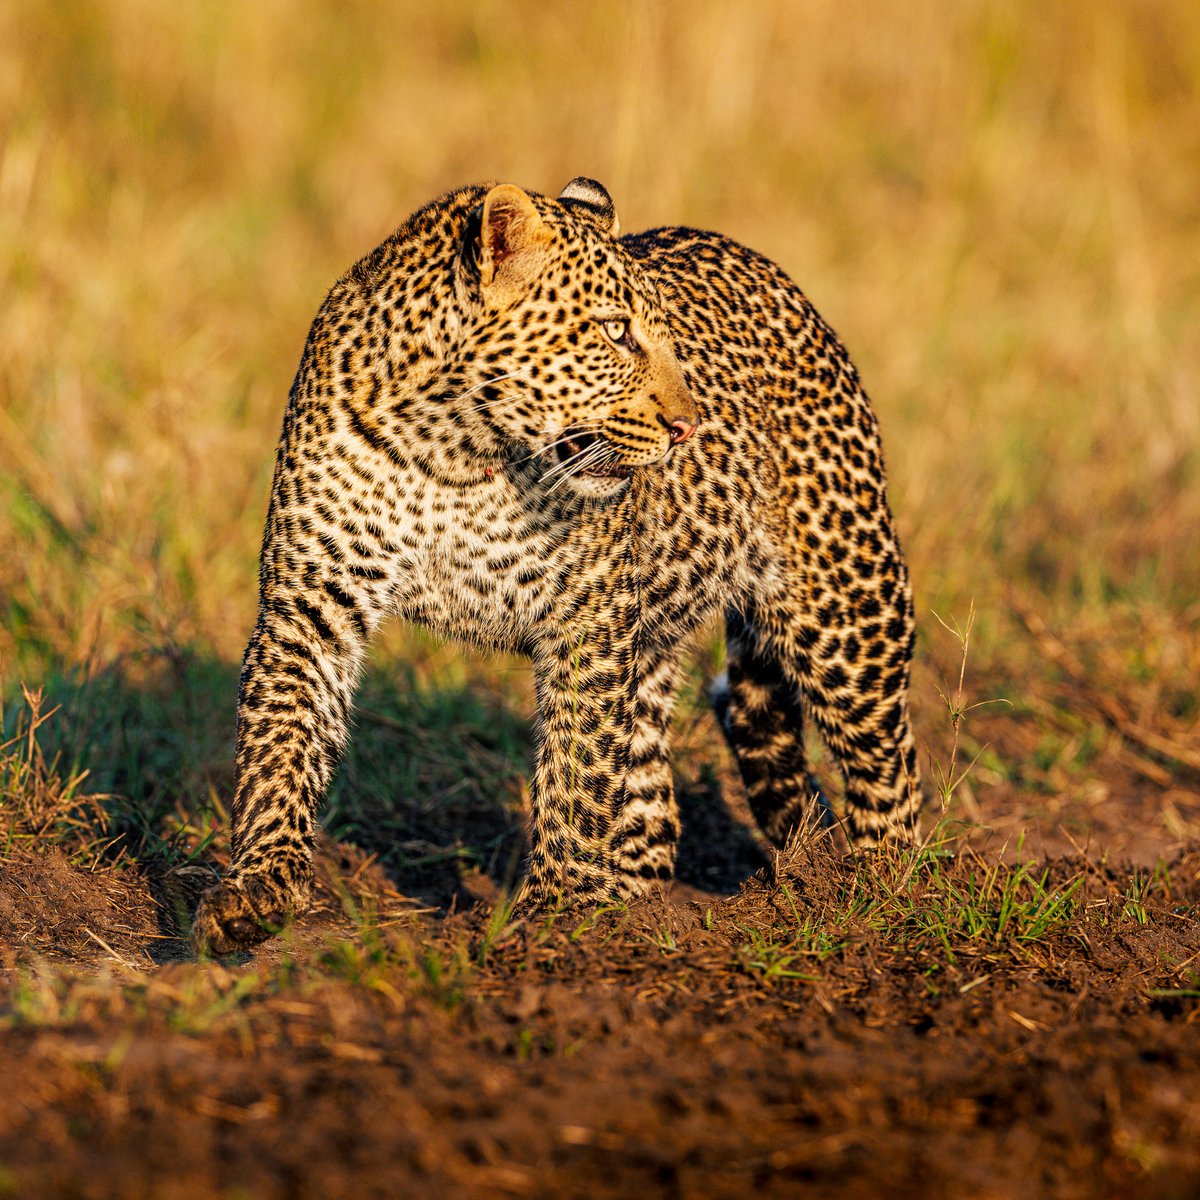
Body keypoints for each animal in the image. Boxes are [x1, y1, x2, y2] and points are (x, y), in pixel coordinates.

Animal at [191, 176, 921, 956]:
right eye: (614, 331)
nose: (689, 427)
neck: (449, 450)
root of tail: (771, 272)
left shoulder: (588, 617)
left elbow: (578, 769)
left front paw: (554, 913)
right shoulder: (309, 604)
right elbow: (279, 744)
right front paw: (255, 890)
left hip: (848, 603)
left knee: (887, 766)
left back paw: (879, 895)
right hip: (657, 631)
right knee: (655, 799)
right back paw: (635, 912)